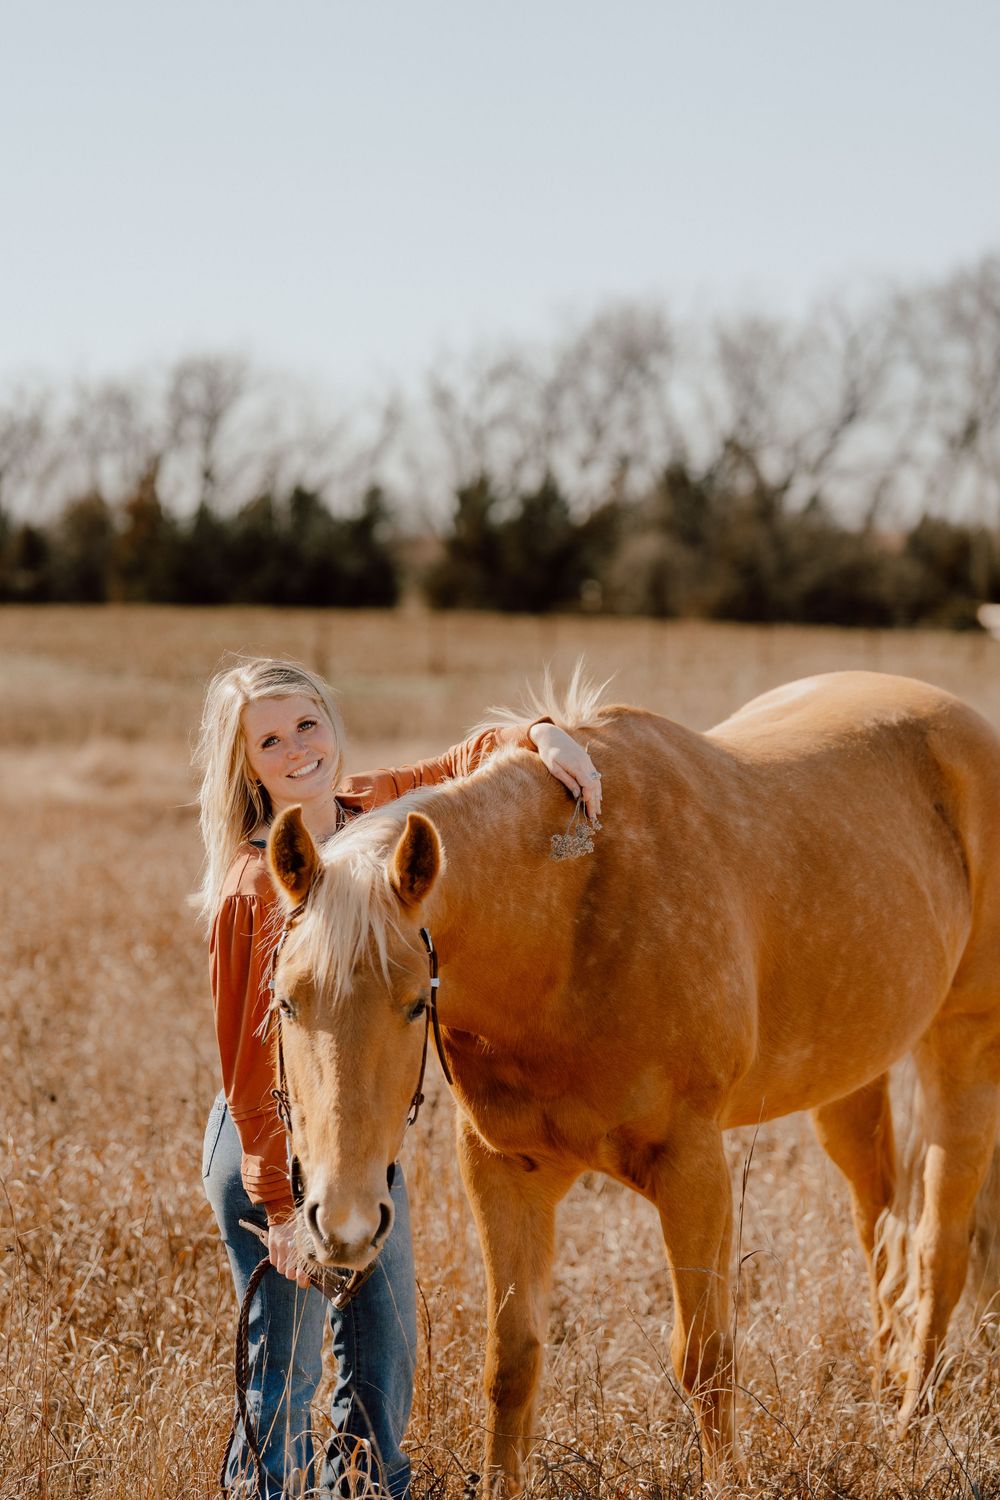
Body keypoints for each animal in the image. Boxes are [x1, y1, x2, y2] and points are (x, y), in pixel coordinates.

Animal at [265, 671, 1000, 1495]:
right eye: (287, 1001)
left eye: (415, 1003)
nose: (346, 1225)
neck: (568, 920)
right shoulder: (502, 1171)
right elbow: (511, 1362)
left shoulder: (692, 1167)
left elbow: (705, 1358)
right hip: (851, 1078)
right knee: (884, 1232)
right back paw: (883, 1390)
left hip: (963, 1048)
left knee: (938, 1246)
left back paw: (908, 1427)